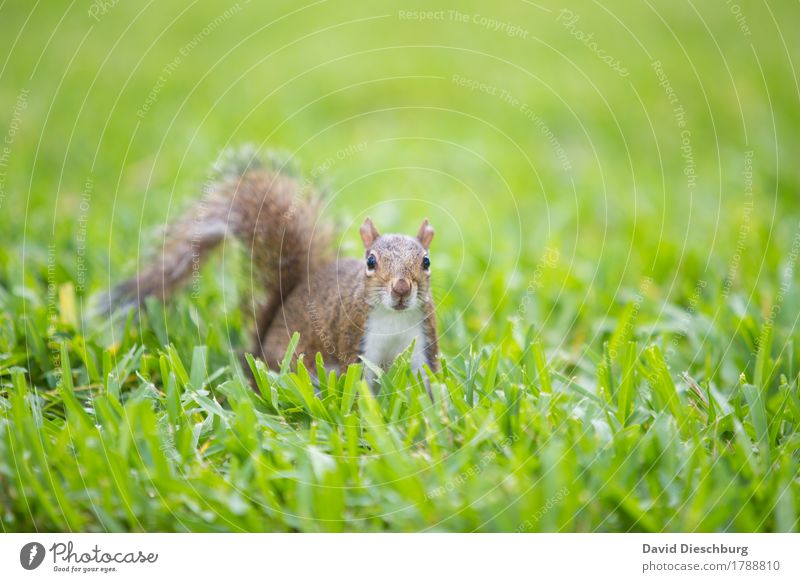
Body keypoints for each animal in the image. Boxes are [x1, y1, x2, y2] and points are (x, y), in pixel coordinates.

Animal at [101, 148, 440, 390]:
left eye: (426, 261)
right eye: (370, 261)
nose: (401, 289)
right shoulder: (354, 339)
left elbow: (427, 385)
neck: (394, 318)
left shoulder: (422, 342)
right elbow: (359, 388)